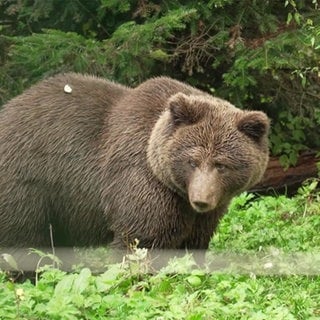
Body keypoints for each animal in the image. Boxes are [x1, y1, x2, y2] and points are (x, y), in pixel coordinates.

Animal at [0, 72, 270, 250]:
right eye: (192, 161)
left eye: (221, 164)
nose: (201, 200)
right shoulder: (141, 180)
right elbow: (142, 239)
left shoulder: (206, 211)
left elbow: (194, 242)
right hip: (29, 180)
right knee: (23, 237)